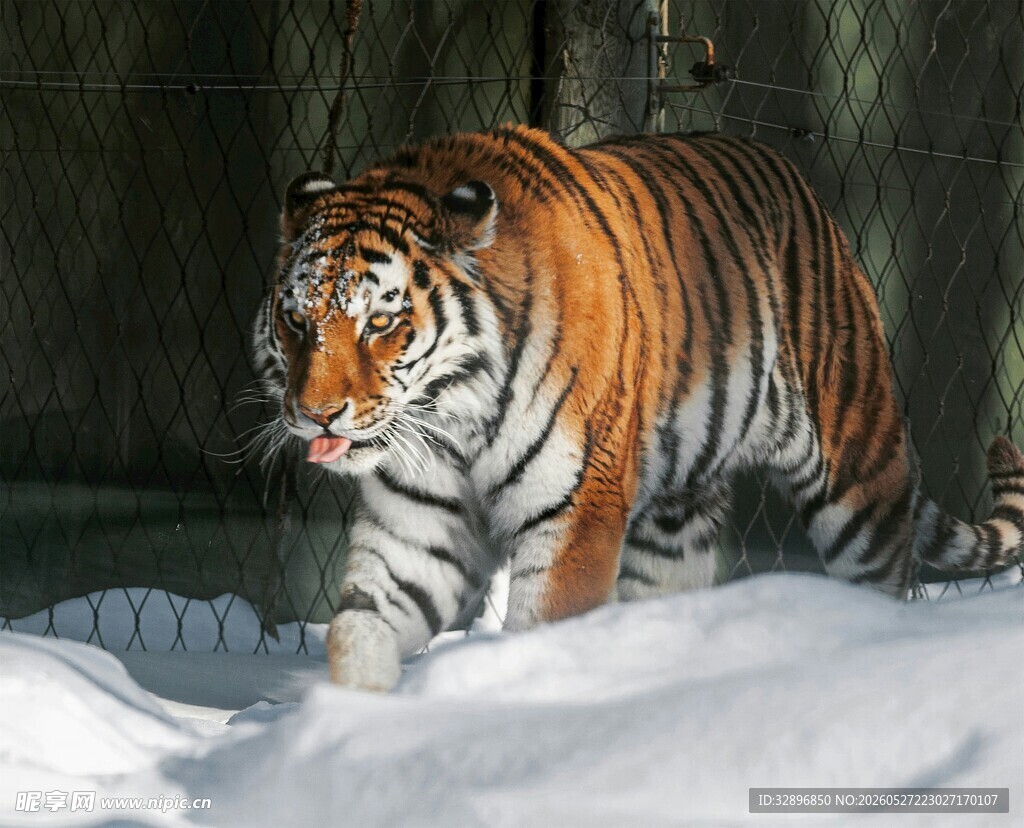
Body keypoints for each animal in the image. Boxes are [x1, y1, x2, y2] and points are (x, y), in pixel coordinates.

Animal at [252, 125, 1024, 692]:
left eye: (381, 324)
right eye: (295, 320)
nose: (317, 414)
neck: (451, 416)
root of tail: (814, 201)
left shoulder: (576, 508)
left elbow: (543, 627)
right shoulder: (420, 524)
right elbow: (358, 629)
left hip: (859, 484)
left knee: (882, 583)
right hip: (674, 523)